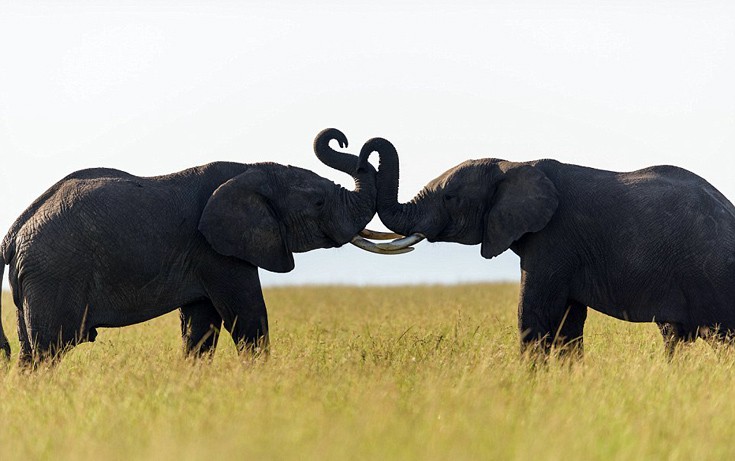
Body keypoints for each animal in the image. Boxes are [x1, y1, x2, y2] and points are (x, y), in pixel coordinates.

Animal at [0, 128, 396, 362]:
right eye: (318, 202)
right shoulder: (216, 251)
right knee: (49, 347)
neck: (252, 169)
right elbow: (248, 318)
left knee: (30, 350)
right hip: (55, 273)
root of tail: (15, 231)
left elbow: (200, 328)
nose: (347, 141)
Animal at [360, 137, 735, 356]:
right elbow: (569, 322)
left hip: (712, 275)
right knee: (675, 336)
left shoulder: (555, 239)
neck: (511, 164)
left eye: (450, 198)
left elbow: (534, 313)